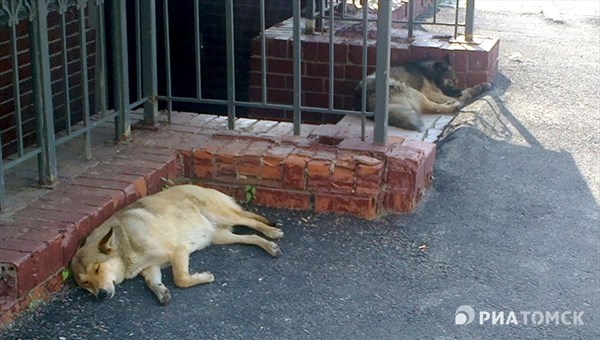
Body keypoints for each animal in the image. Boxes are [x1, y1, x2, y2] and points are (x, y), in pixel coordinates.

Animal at [71, 185, 284, 304]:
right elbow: (151, 282)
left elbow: (180, 278)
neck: (125, 243)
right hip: (220, 236)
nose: (101, 295)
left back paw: (271, 232)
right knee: (250, 237)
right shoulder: (151, 267)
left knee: (251, 222)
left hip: (221, 215)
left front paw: (203, 277)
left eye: (98, 269)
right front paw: (160, 291)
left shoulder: (178, 251)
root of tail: (198, 186)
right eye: (85, 283)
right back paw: (269, 246)